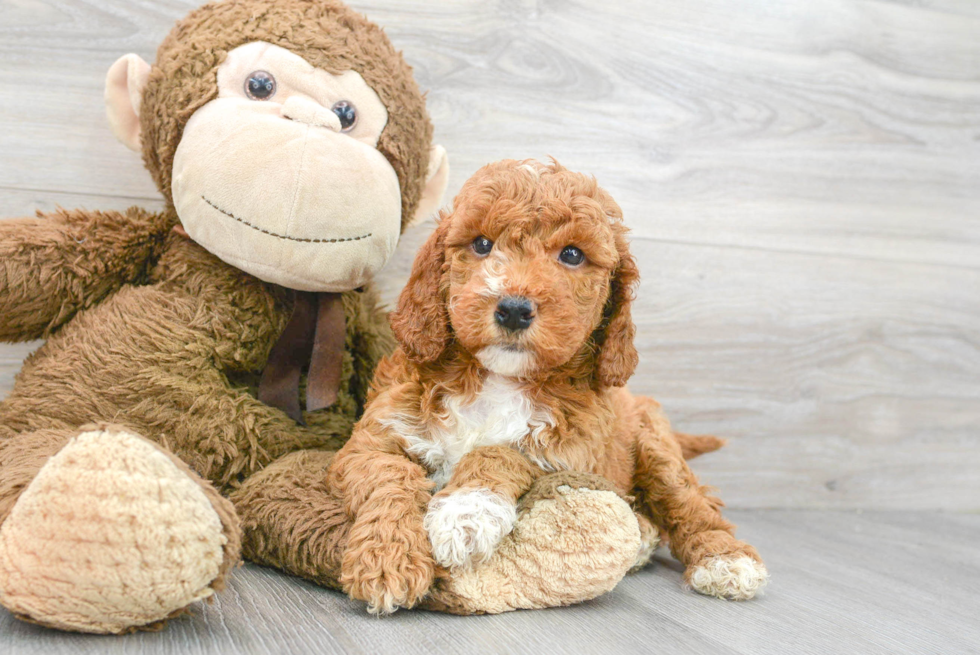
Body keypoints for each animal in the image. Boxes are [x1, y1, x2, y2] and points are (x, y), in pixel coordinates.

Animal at [334, 159, 768, 616]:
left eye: (572, 254)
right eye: (482, 244)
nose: (513, 309)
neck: (496, 378)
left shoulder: (571, 447)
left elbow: (500, 451)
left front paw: (465, 513)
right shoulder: (375, 437)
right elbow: (389, 477)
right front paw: (387, 559)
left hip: (657, 447)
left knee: (690, 504)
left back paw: (725, 560)